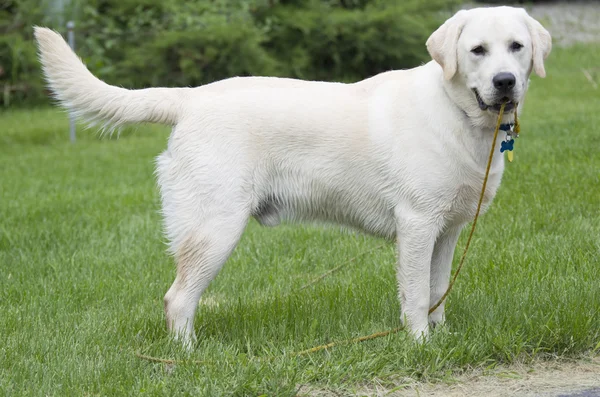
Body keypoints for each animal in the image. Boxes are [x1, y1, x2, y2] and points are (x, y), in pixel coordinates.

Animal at [32, 5, 552, 344]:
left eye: (517, 47)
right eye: (477, 50)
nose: (505, 82)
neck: (459, 114)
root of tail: (191, 97)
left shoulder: (447, 230)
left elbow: (436, 290)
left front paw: (443, 338)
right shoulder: (418, 224)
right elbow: (414, 294)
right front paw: (420, 344)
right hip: (214, 229)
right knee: (177, 299)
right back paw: (189, 358)